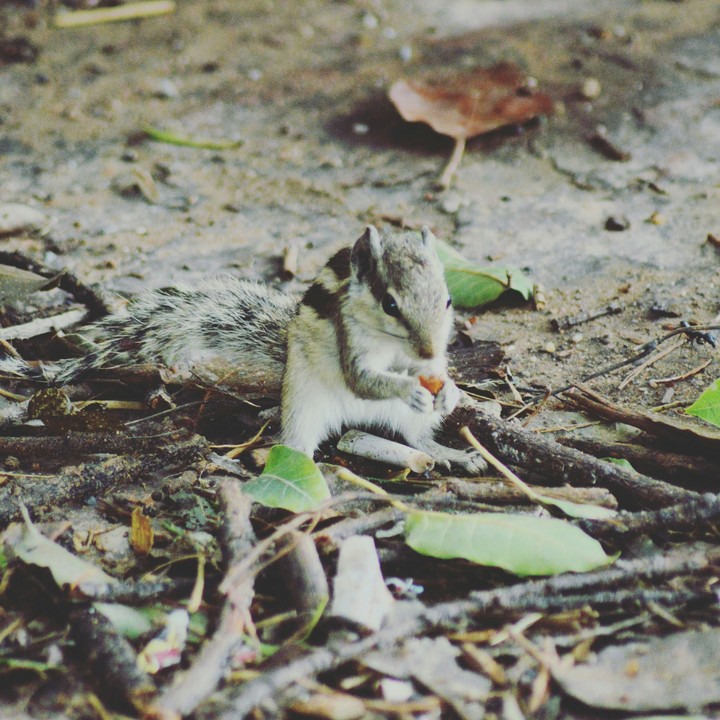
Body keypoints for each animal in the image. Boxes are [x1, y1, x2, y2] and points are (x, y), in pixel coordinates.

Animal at [0, 226, 486, 473]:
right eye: (390, 304)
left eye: (447, 301)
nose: (428, 351)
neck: (393, 346)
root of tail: (355, 422)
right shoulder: (352, 342)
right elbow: (363, 379)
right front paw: (409, 387)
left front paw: (448, 390)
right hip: (305, 406)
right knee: (297, 443)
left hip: (406, 425)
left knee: (416, 437)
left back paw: (452, 454)